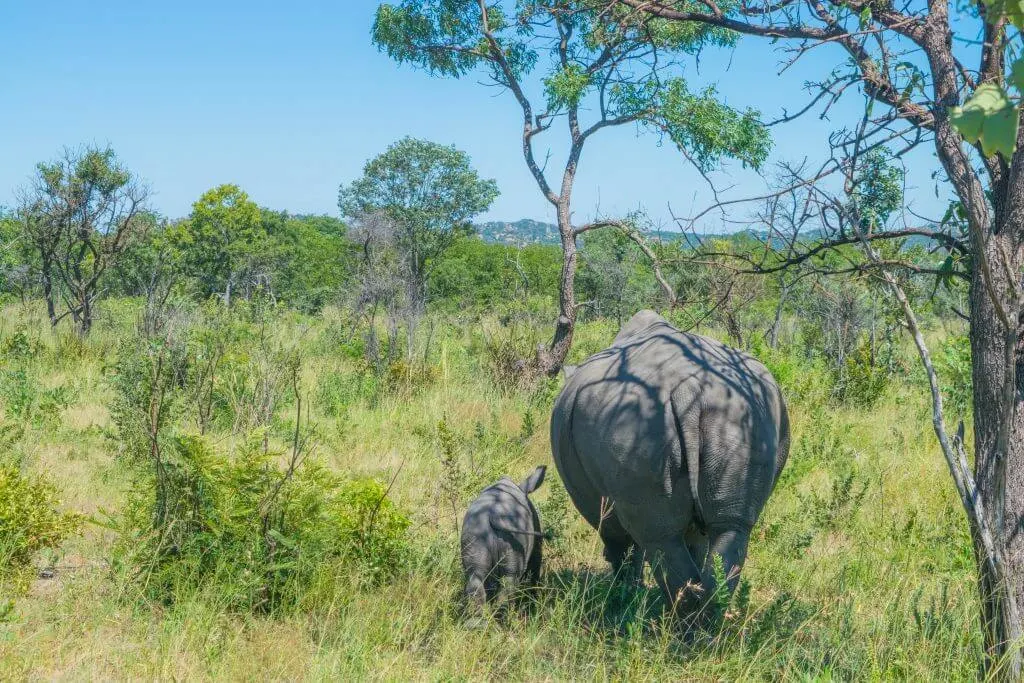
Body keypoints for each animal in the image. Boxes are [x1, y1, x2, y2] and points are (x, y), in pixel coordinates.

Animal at [460, 466, 547, 620]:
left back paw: (479, 620)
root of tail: (492, 516)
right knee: (509, 580)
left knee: (475, 577)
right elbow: (534, 569)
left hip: (474, 532)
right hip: (513, 537)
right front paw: (533, 601)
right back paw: (507, 619)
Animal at [550, 310, 790, 621]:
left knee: (659, 539)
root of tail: (691, 391)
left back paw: (674, 624)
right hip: (742, 414)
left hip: (636, 423)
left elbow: (621, 545)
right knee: (730, 528)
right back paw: (705, 625)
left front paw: (624, 595)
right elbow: (696, 544)